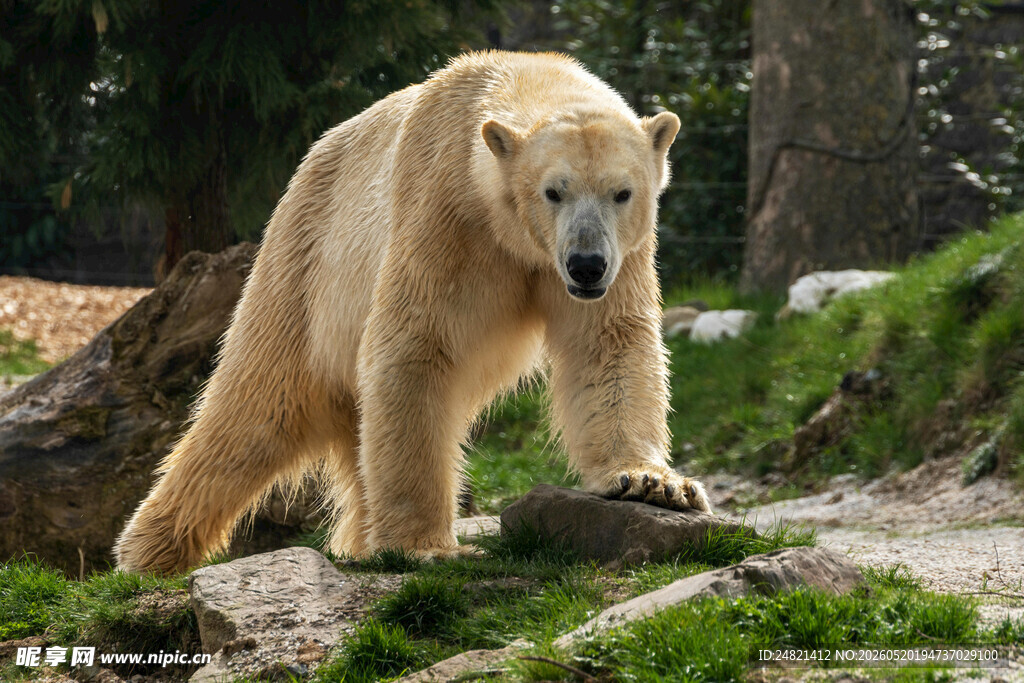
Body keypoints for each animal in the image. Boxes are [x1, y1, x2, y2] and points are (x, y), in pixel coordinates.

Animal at [114, 50, 711, 574]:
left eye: (622, 192)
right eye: (553, 191)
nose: (586, 265)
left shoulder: (623, 256)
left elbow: (608, 343)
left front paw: (653, 484)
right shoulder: (444, 216)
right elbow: (414, 350)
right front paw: (423, 546)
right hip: (302, 265)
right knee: (253, 408)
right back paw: (147, 552)